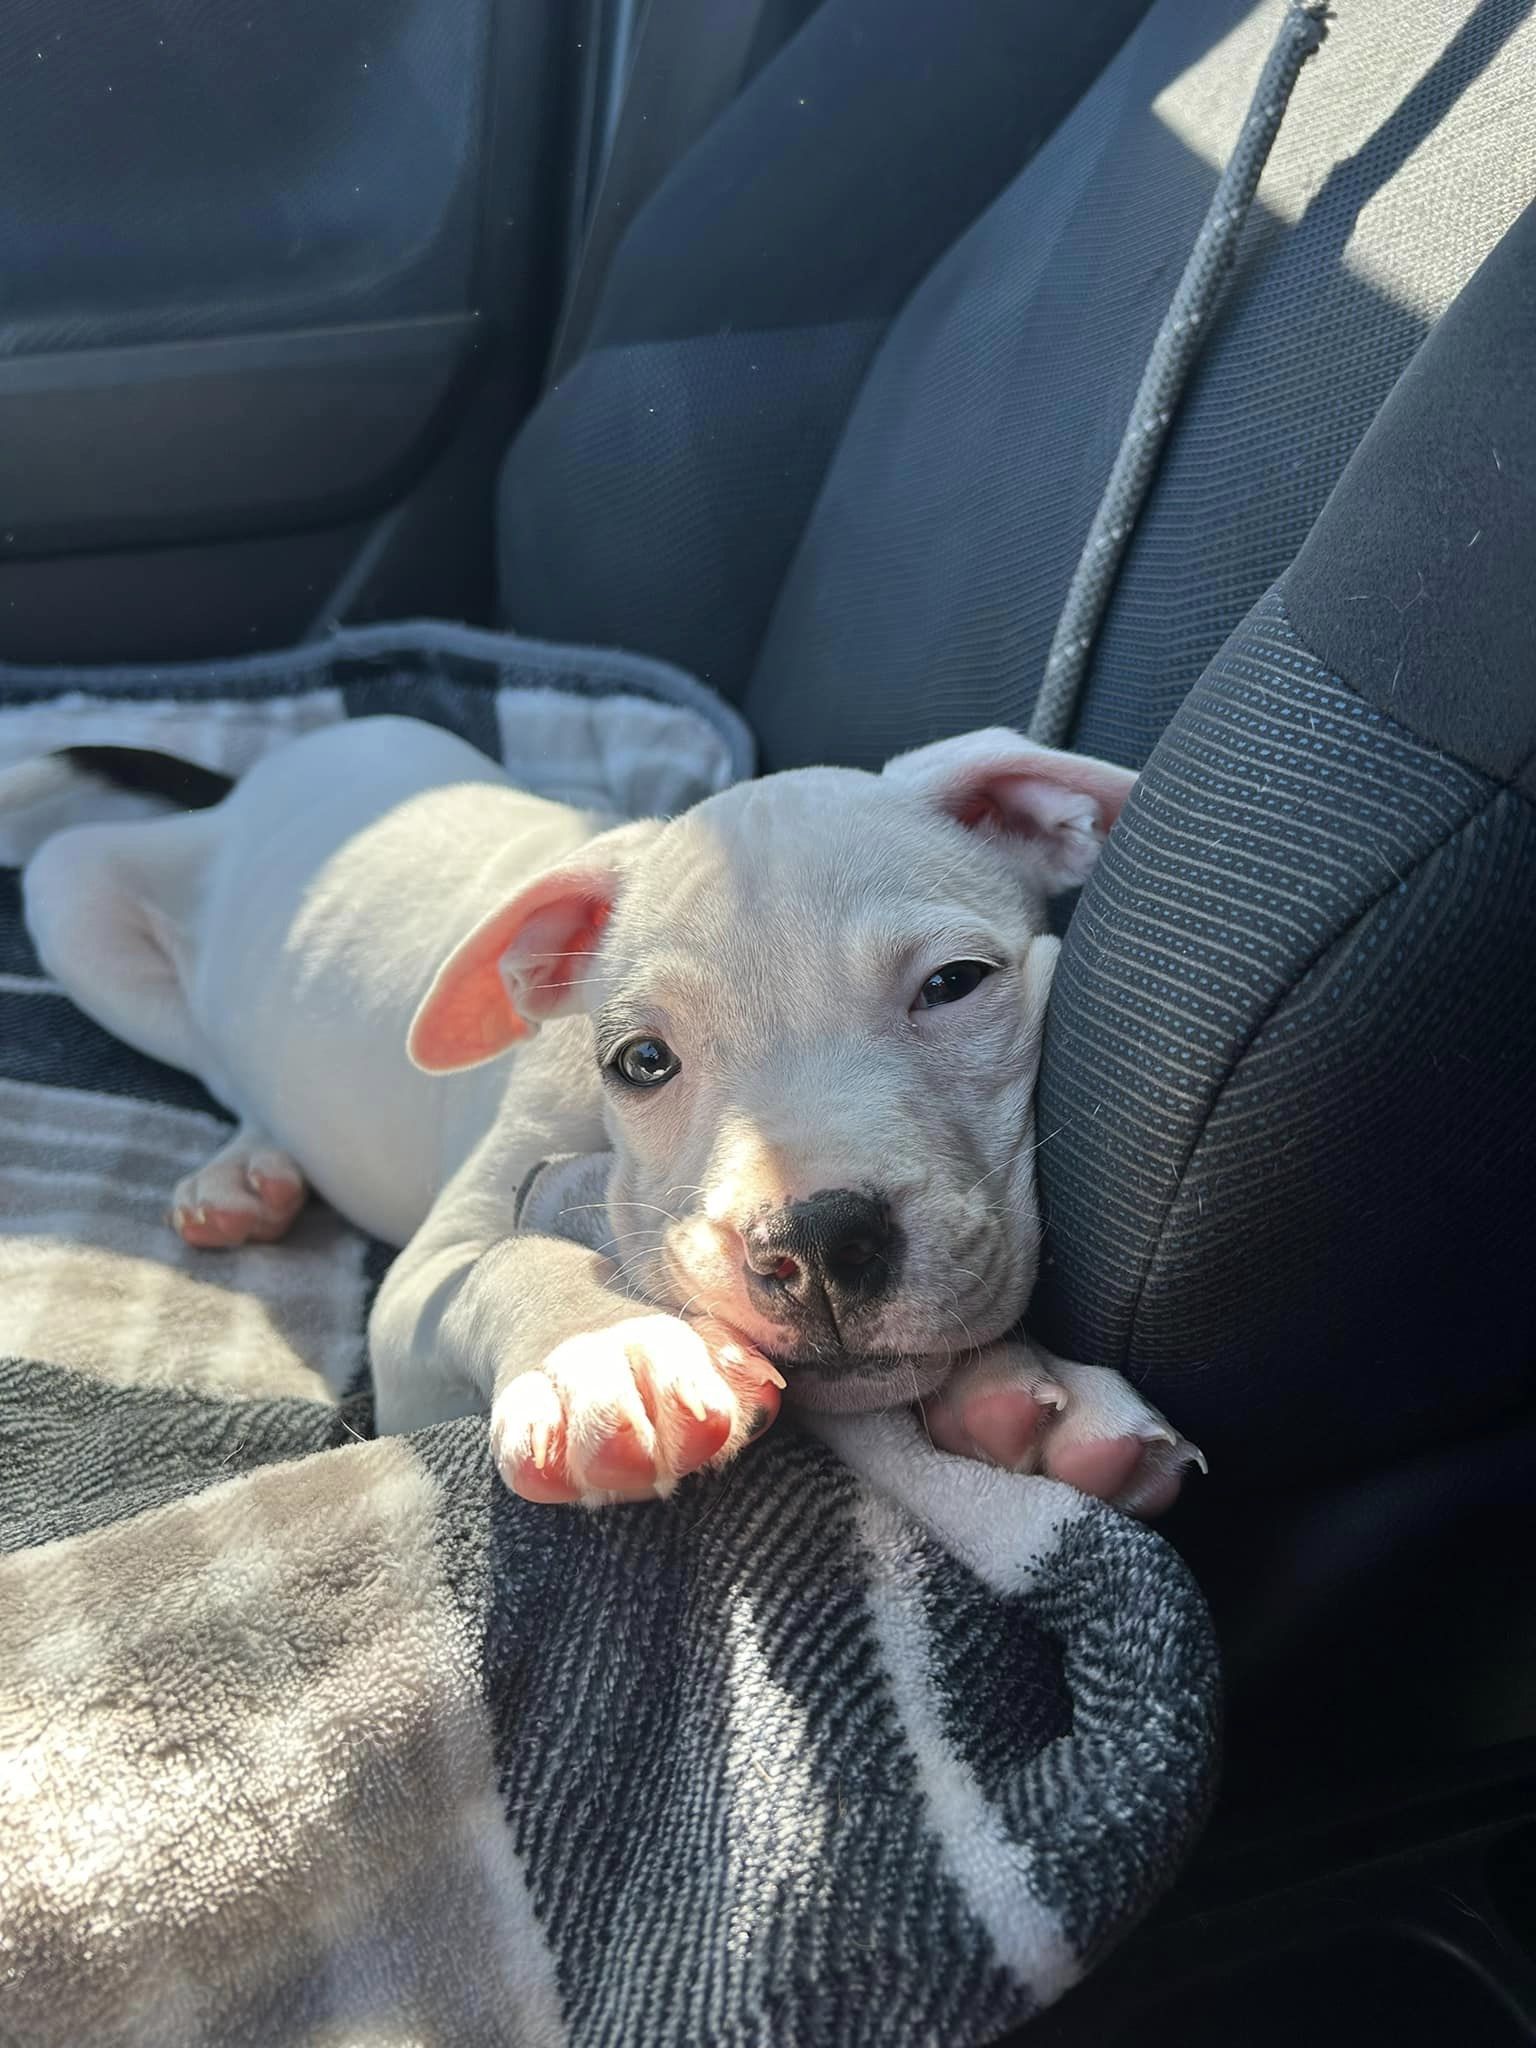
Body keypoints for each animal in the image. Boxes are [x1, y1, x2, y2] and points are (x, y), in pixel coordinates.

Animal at [18, 716, 1212, 1507]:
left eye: (955, 984)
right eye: (642, 1060)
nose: (817, 1243)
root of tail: (254, 780)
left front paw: (1027, 1385)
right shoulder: (415, 1298)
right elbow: (507, 1254)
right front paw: (609, 1347)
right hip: (71, 898)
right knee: (218, 1068)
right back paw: (241, 1173)